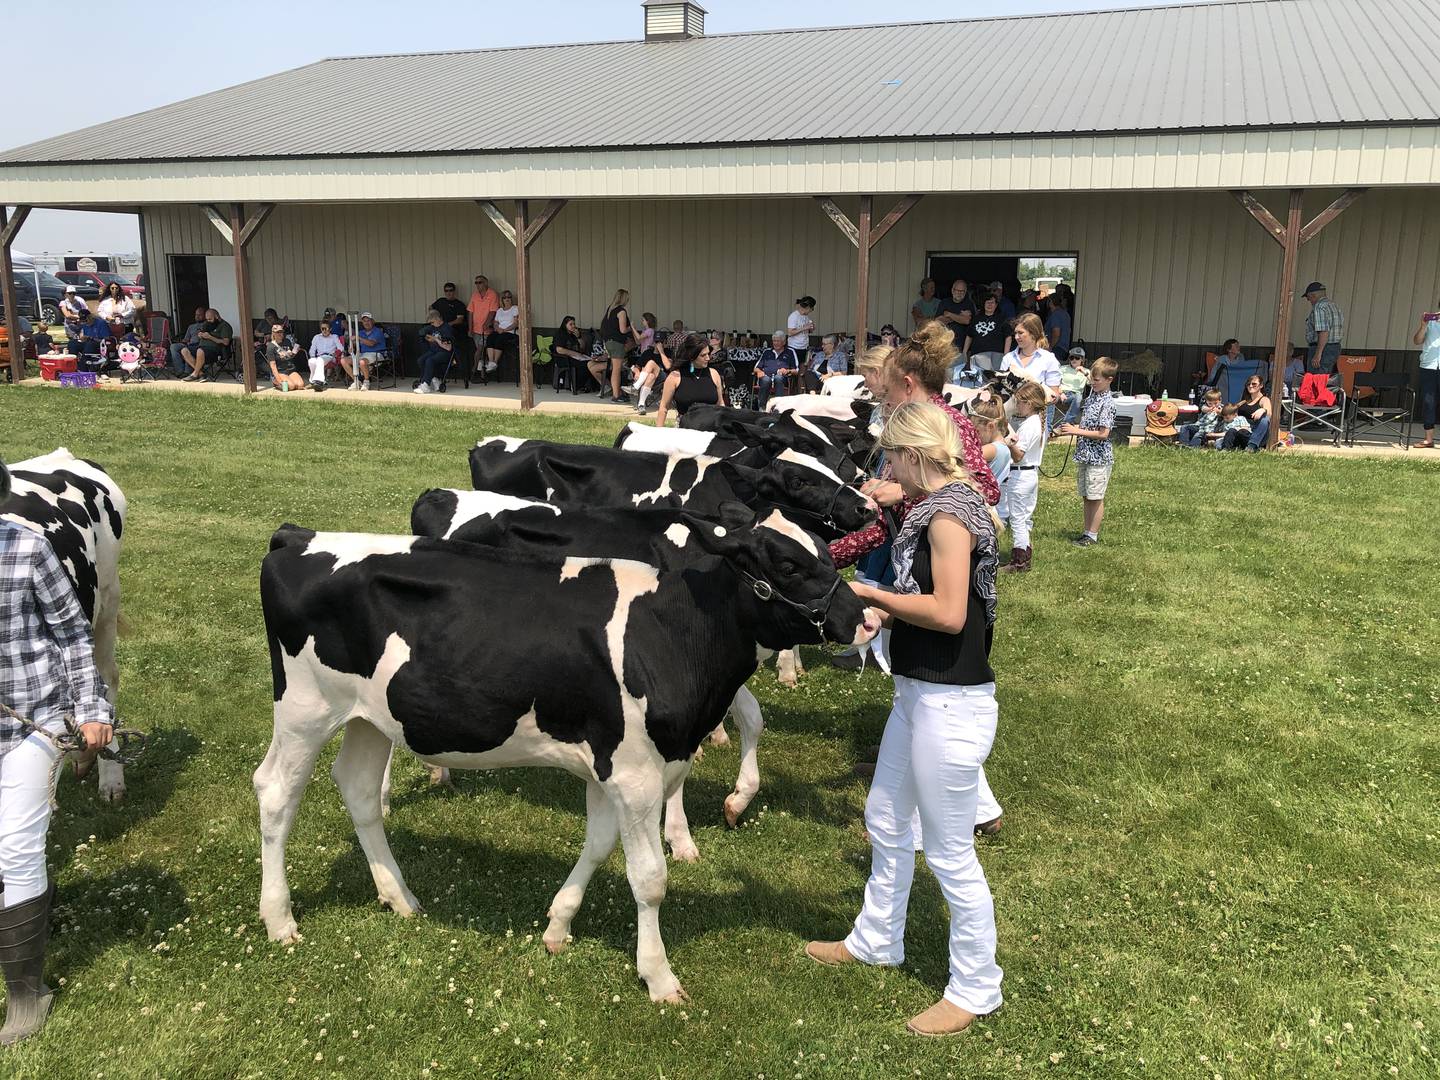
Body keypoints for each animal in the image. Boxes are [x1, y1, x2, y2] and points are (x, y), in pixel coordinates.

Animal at [254, 521, 875, 1002]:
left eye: (827, 553)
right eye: (789, 565)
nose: (866, 618)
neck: (668, 631)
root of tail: (297, 536)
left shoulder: (616, 766)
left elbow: (597, 846)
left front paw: (558, 924)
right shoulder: (635, 773)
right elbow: (650, 878)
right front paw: (658, 976)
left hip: (369, 717)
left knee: (359, 790)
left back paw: (399, 898)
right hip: (305, 708)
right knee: (275, 795)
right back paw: (280, 920)